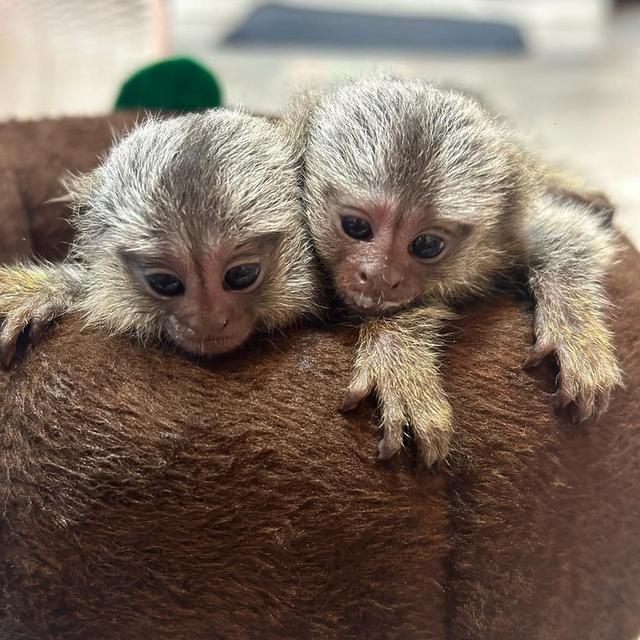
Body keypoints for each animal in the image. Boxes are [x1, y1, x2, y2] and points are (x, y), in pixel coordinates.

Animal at [284, 75, 623, 466]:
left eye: (427, 245)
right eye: (356, 226)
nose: (381, 276)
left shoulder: (506, 233)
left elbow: (569, 235)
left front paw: (575, 332)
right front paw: (399, 356)